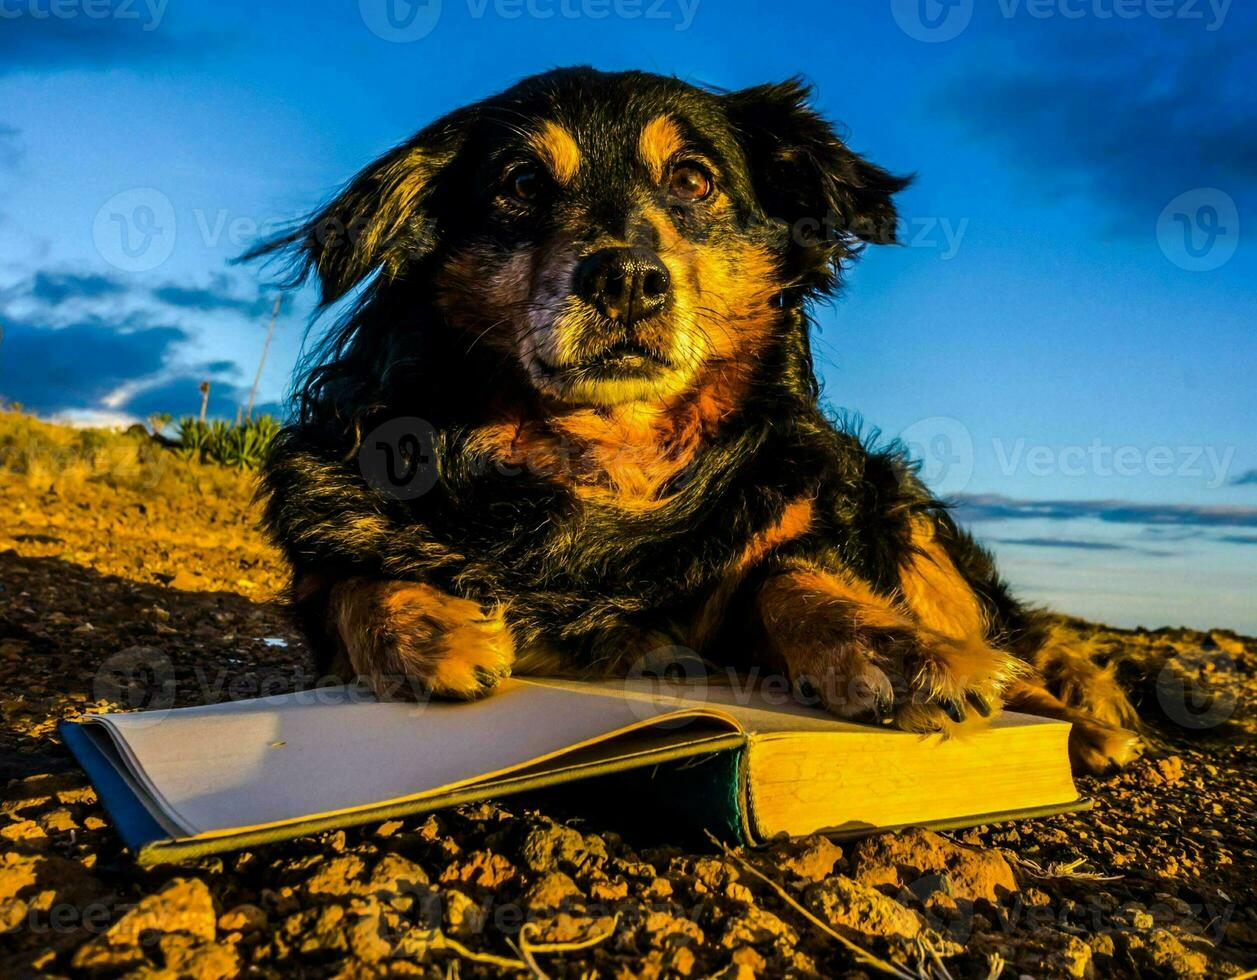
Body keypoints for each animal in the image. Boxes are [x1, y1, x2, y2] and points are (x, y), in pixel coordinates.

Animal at [250, 66, 1146, 773]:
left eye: (691, 180)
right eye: (521, 186)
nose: (625, 280)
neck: (608, 457)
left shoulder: (796, 524)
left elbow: (791, 575)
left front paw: (892, 647)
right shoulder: (332, 536)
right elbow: (354, 583)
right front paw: (431, 625)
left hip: (890, 499)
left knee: (1021, 637)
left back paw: (1089, 719)